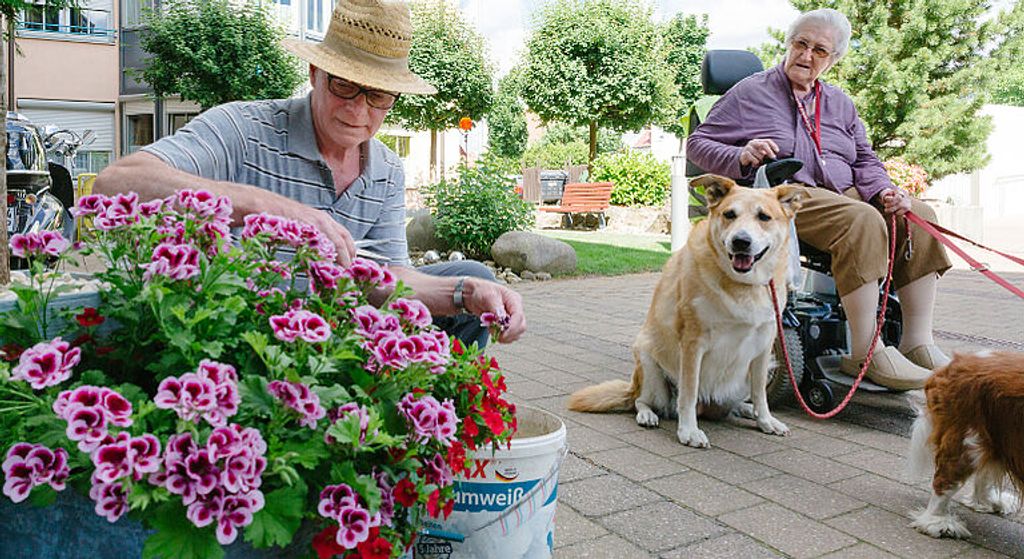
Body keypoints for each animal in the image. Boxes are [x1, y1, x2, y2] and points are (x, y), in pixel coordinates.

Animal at [573, 174, 802, 444]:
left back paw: (744, 409)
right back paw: (647, 415)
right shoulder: (694, 343)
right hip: (649, 364)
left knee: (735, 404)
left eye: (764, 217)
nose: (741, 242)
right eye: (729, 214)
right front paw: (689, 431)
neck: (742, 284)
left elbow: (761, 394)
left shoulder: (764, 346)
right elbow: (689, 393)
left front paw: (765, 421)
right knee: (642, 401)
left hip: (754, 371)